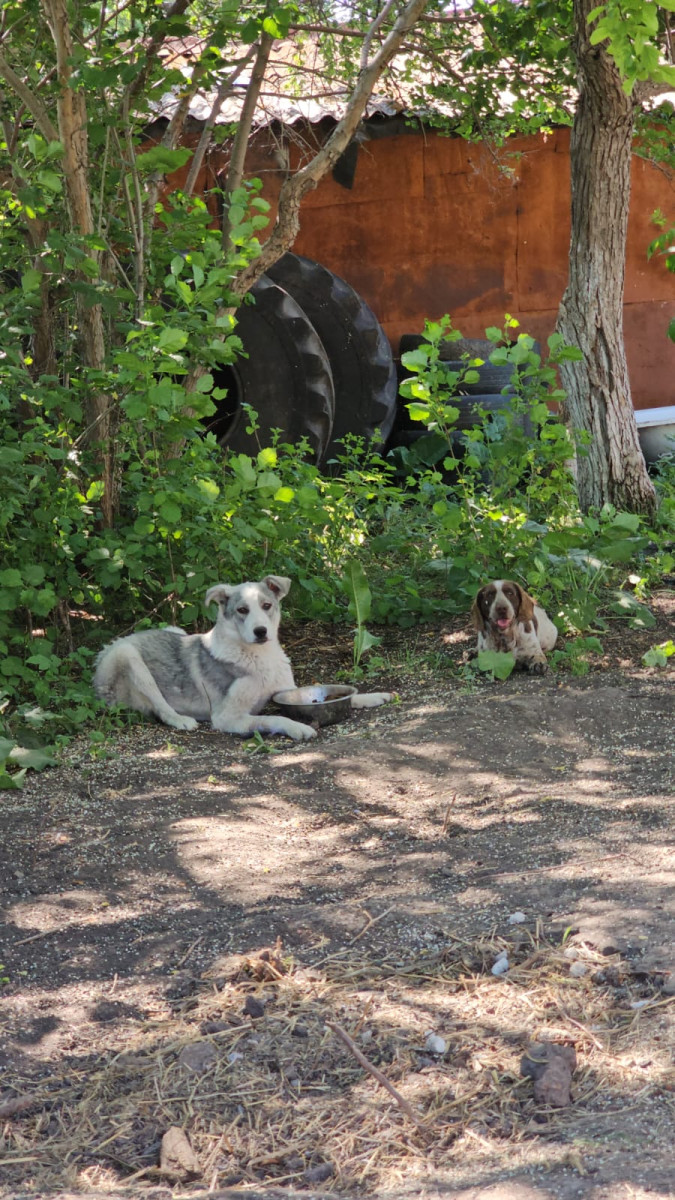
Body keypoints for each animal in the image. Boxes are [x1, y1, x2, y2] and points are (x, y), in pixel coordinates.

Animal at [92, 573, 391, 734]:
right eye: (242, 610)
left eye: (267, 605)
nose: (261, 631)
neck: (260, 656)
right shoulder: (228, 717)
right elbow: (273, 717)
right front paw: (299, 728)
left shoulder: (285, 690)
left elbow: (346, 694)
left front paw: (375, 695)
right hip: (127, 656)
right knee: (160, 707)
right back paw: (182, 720)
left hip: (174, 629)